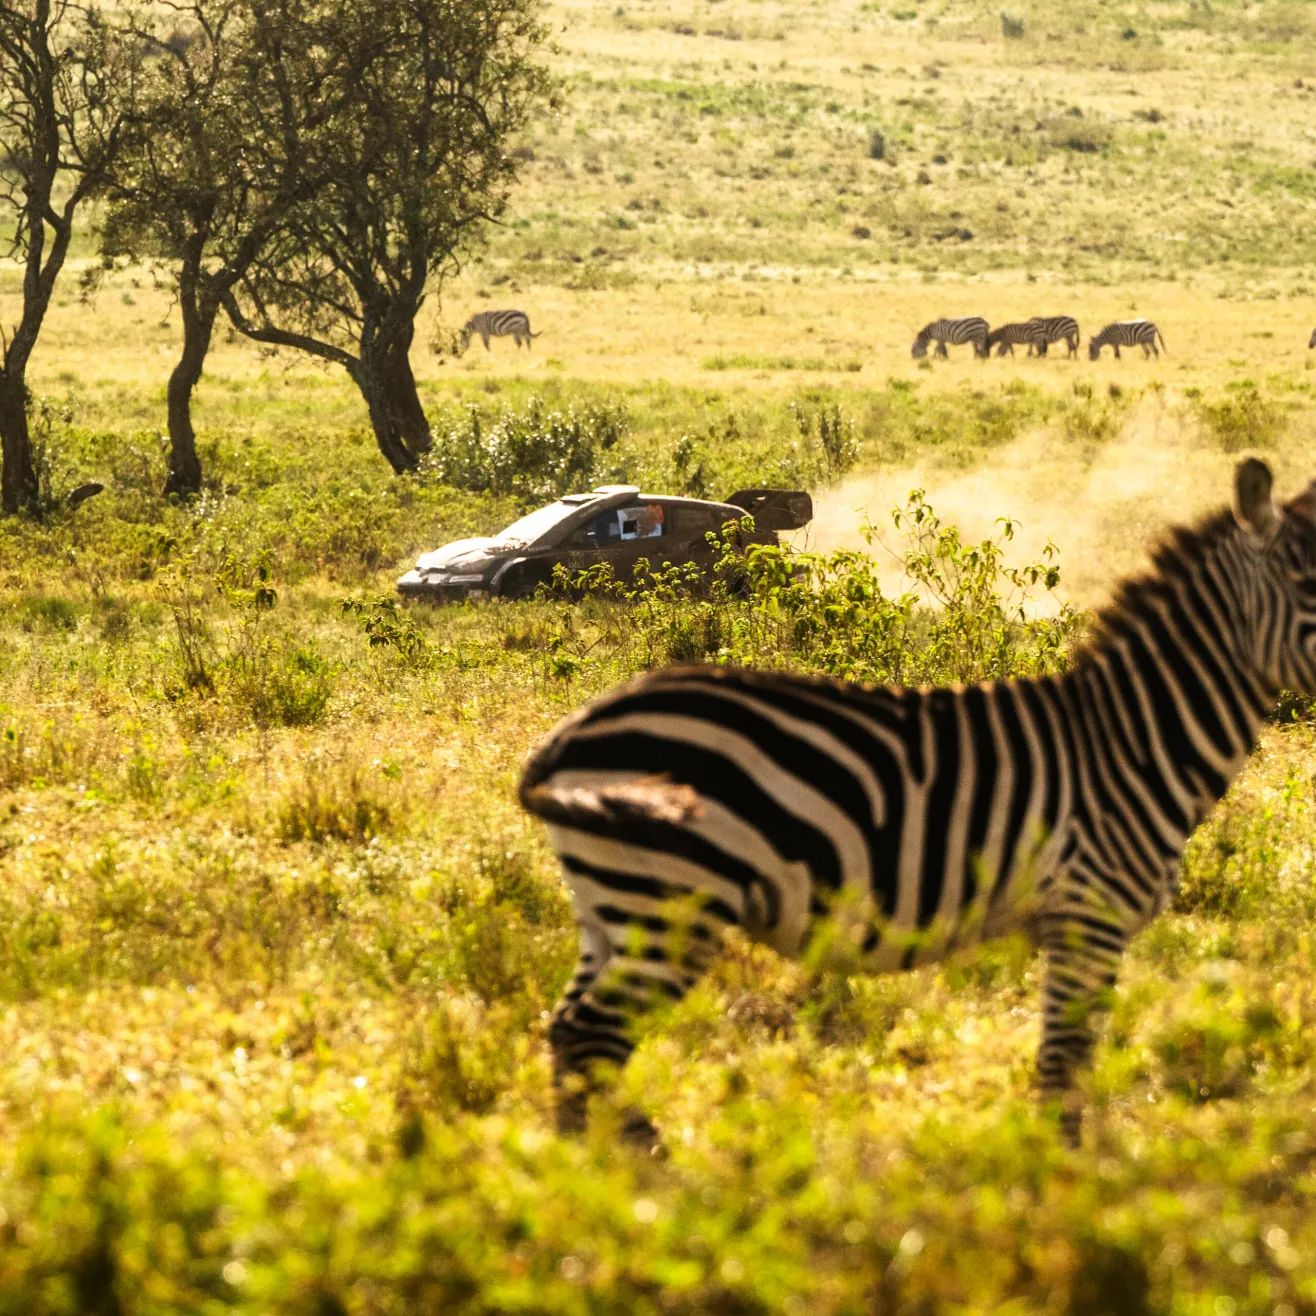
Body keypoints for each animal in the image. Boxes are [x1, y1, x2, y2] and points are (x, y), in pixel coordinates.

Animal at [515, 457, 1316, 1147]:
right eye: (1313, 591)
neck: (1135, 737)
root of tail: (572, 733)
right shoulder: (1089, 914)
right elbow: (1064, 1066)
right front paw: (1064, 1190)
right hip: (667, 900)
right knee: (591, 1036)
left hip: (613, 903)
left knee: (568, 1030)